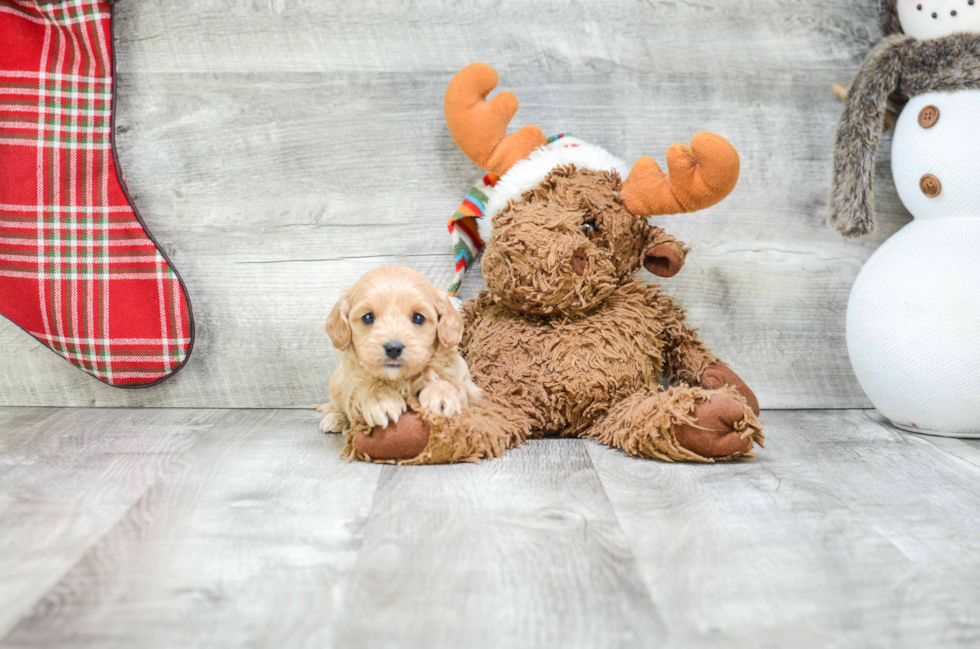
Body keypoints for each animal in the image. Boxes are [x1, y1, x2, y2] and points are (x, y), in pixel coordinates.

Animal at [318, 266, 482, 432]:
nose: (393, 348)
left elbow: (445, 380)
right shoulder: (352, 377)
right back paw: (335, 418)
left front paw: (441, 395)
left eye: (418, 318)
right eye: (368, 317)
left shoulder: (466, 386)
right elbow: (362, 384)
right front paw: (382, 401)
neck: (400, 379)